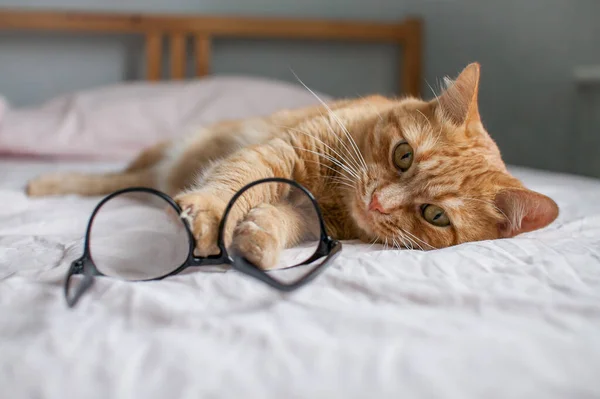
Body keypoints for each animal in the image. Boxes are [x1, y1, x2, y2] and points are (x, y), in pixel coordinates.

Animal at [25, 64, 560, 270]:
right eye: (403, 155)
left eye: (435, 215)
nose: (377, 202)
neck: (335, 193)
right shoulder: (278, 153)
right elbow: (235, 184)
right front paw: (212, 216)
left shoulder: (307, 217)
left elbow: (274, 218)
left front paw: (254, 241)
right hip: (162, 155)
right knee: (115, 178)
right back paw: (45, 182)